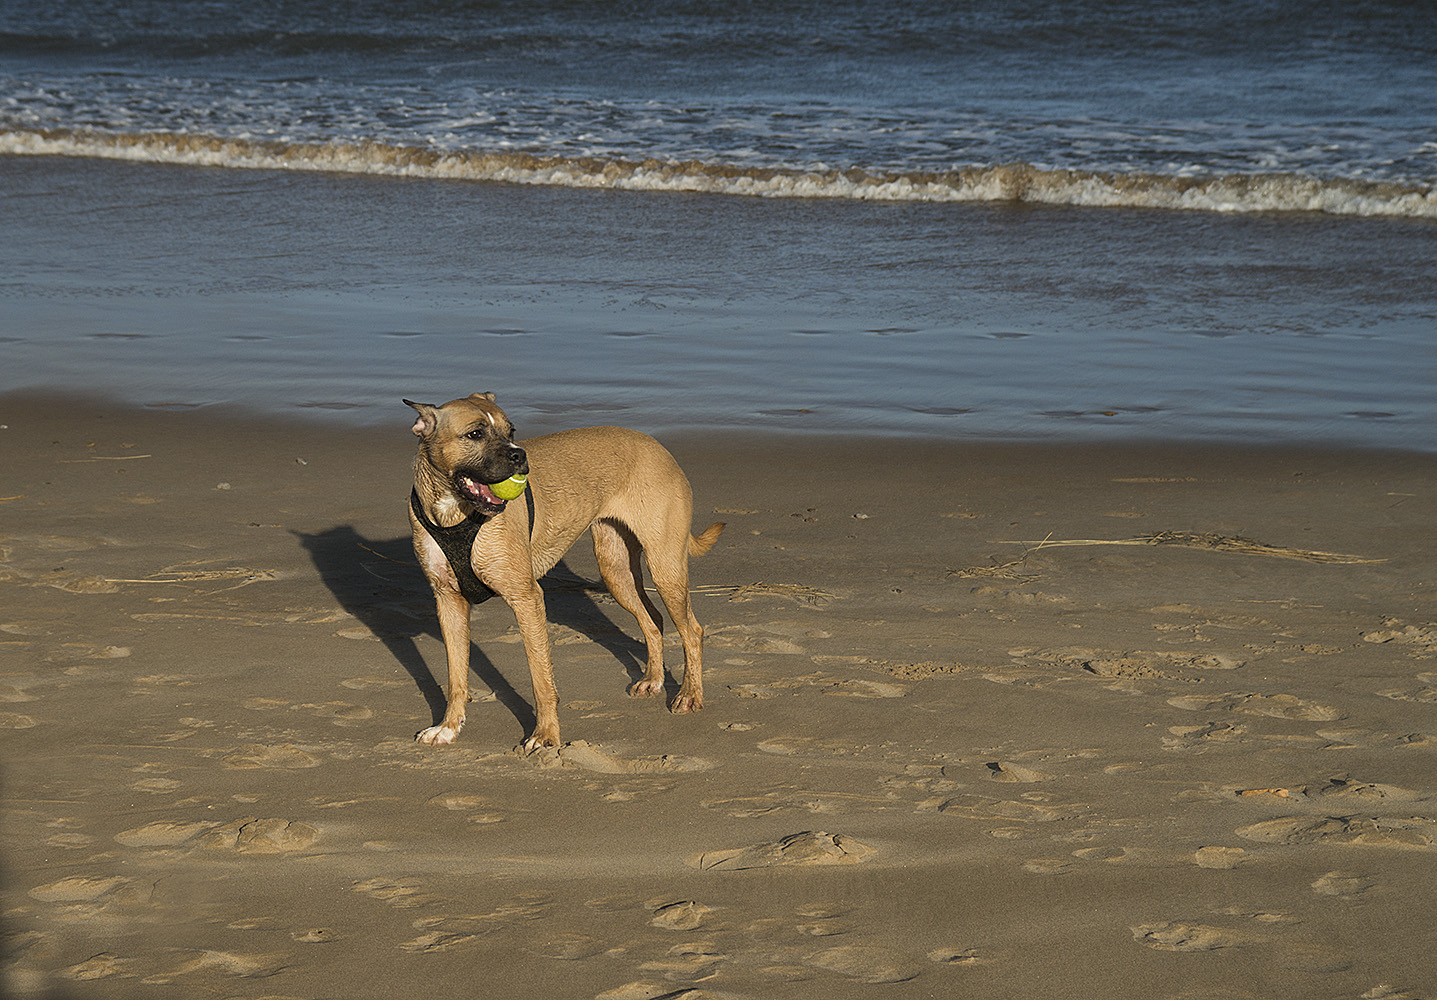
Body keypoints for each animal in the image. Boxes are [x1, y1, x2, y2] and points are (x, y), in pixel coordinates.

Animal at [402, 393, 724, 747]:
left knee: (692, 632)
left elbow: (541, 680)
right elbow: (456, 677)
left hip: (665, 567)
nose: (520, 455)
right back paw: (653, 679)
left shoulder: (527, 599)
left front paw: (545, 736)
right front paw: (447, 727)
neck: (453, 511)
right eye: (475, 434)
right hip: (616, 570)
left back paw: (690, 694)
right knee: (652, 621)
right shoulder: (449, 603)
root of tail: (658, 446)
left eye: (511, 430)